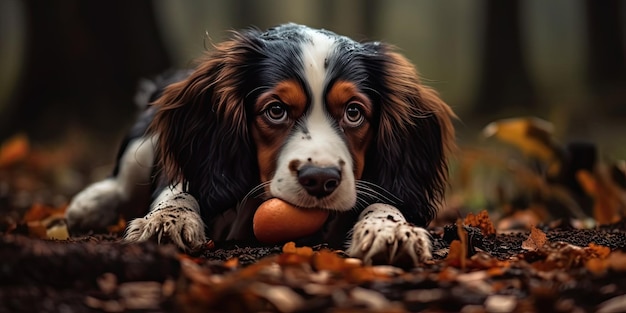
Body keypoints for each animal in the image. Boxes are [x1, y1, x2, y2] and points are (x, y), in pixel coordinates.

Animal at [64, 23, 454, 264]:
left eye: (354, 112)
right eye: (276, 110)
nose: (320, 179)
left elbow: (384, 200)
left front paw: (392, 229)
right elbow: (178, 188)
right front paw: (166, 220)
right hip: (143, 144)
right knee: (123, 178)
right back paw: (90, 204)